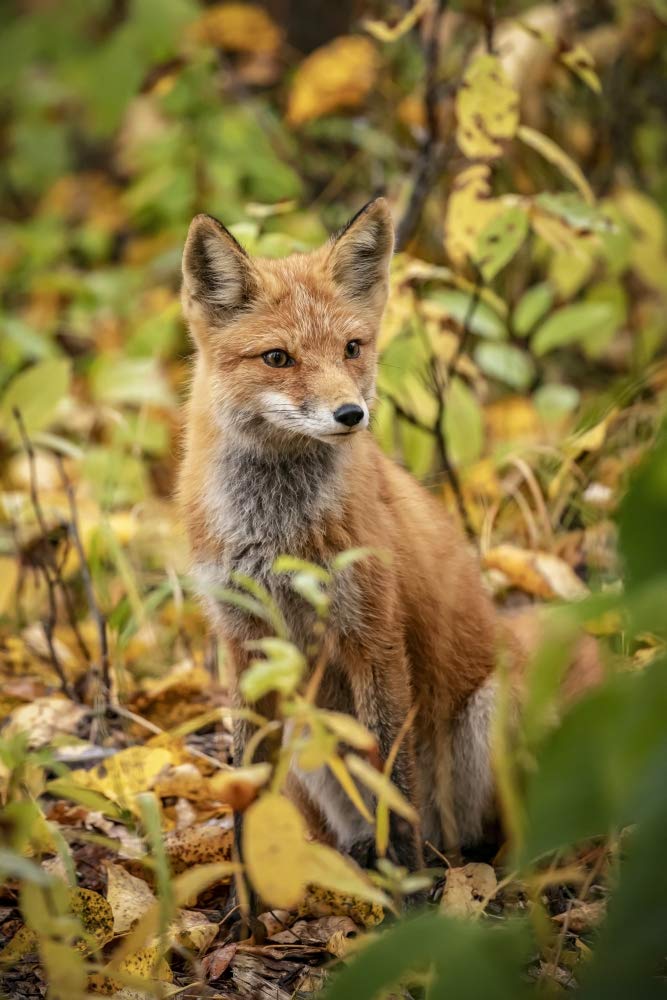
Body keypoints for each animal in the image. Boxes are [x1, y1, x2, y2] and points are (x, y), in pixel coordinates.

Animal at [178, 198, 601, 878]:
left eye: (352, 348)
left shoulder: (372, 634)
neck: (275, 532)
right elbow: (248, 787)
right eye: (278, 358)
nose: (351, 414)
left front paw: (406, 883)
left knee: (489, 833)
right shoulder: (246, 645)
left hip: (488, 717)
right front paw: (247, 888)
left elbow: (391, 774)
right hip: (308, 730)